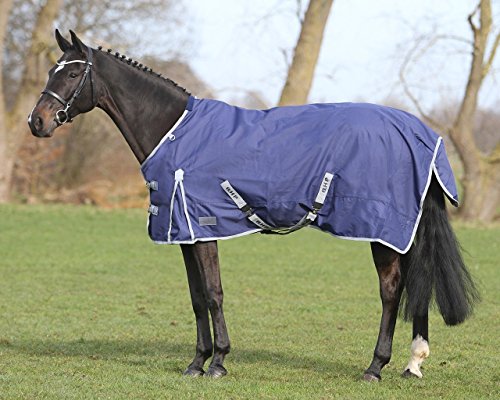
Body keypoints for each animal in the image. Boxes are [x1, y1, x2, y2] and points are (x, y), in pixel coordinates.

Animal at [28, 31, 480, 382]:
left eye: (72, 72)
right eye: (52, 70)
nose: (38, 122)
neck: (175, 132)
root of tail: (420, 132)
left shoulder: (203, 227)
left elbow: (214, 294)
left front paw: (218, 363)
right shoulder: (185, 232)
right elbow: (196, 296)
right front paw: (196, 362)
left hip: (384, 230)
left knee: (391, 290)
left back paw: (375, 367)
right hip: (406, 231)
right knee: (417, 282)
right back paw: (413, 363)